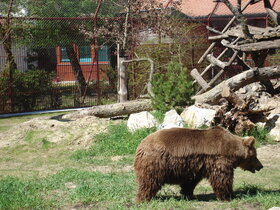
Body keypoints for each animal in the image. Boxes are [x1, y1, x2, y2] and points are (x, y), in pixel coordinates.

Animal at [133, 126, 262, 202]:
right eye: (255, 156)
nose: (261, 166)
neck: (232, 151)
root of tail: (140, 145)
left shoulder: (196, 165)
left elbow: (190, 182)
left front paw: (188, 194)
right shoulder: (218, 160)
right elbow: (222, 178)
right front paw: (228, 196)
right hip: (155, 162)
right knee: (148, 181)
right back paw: (143, 198)